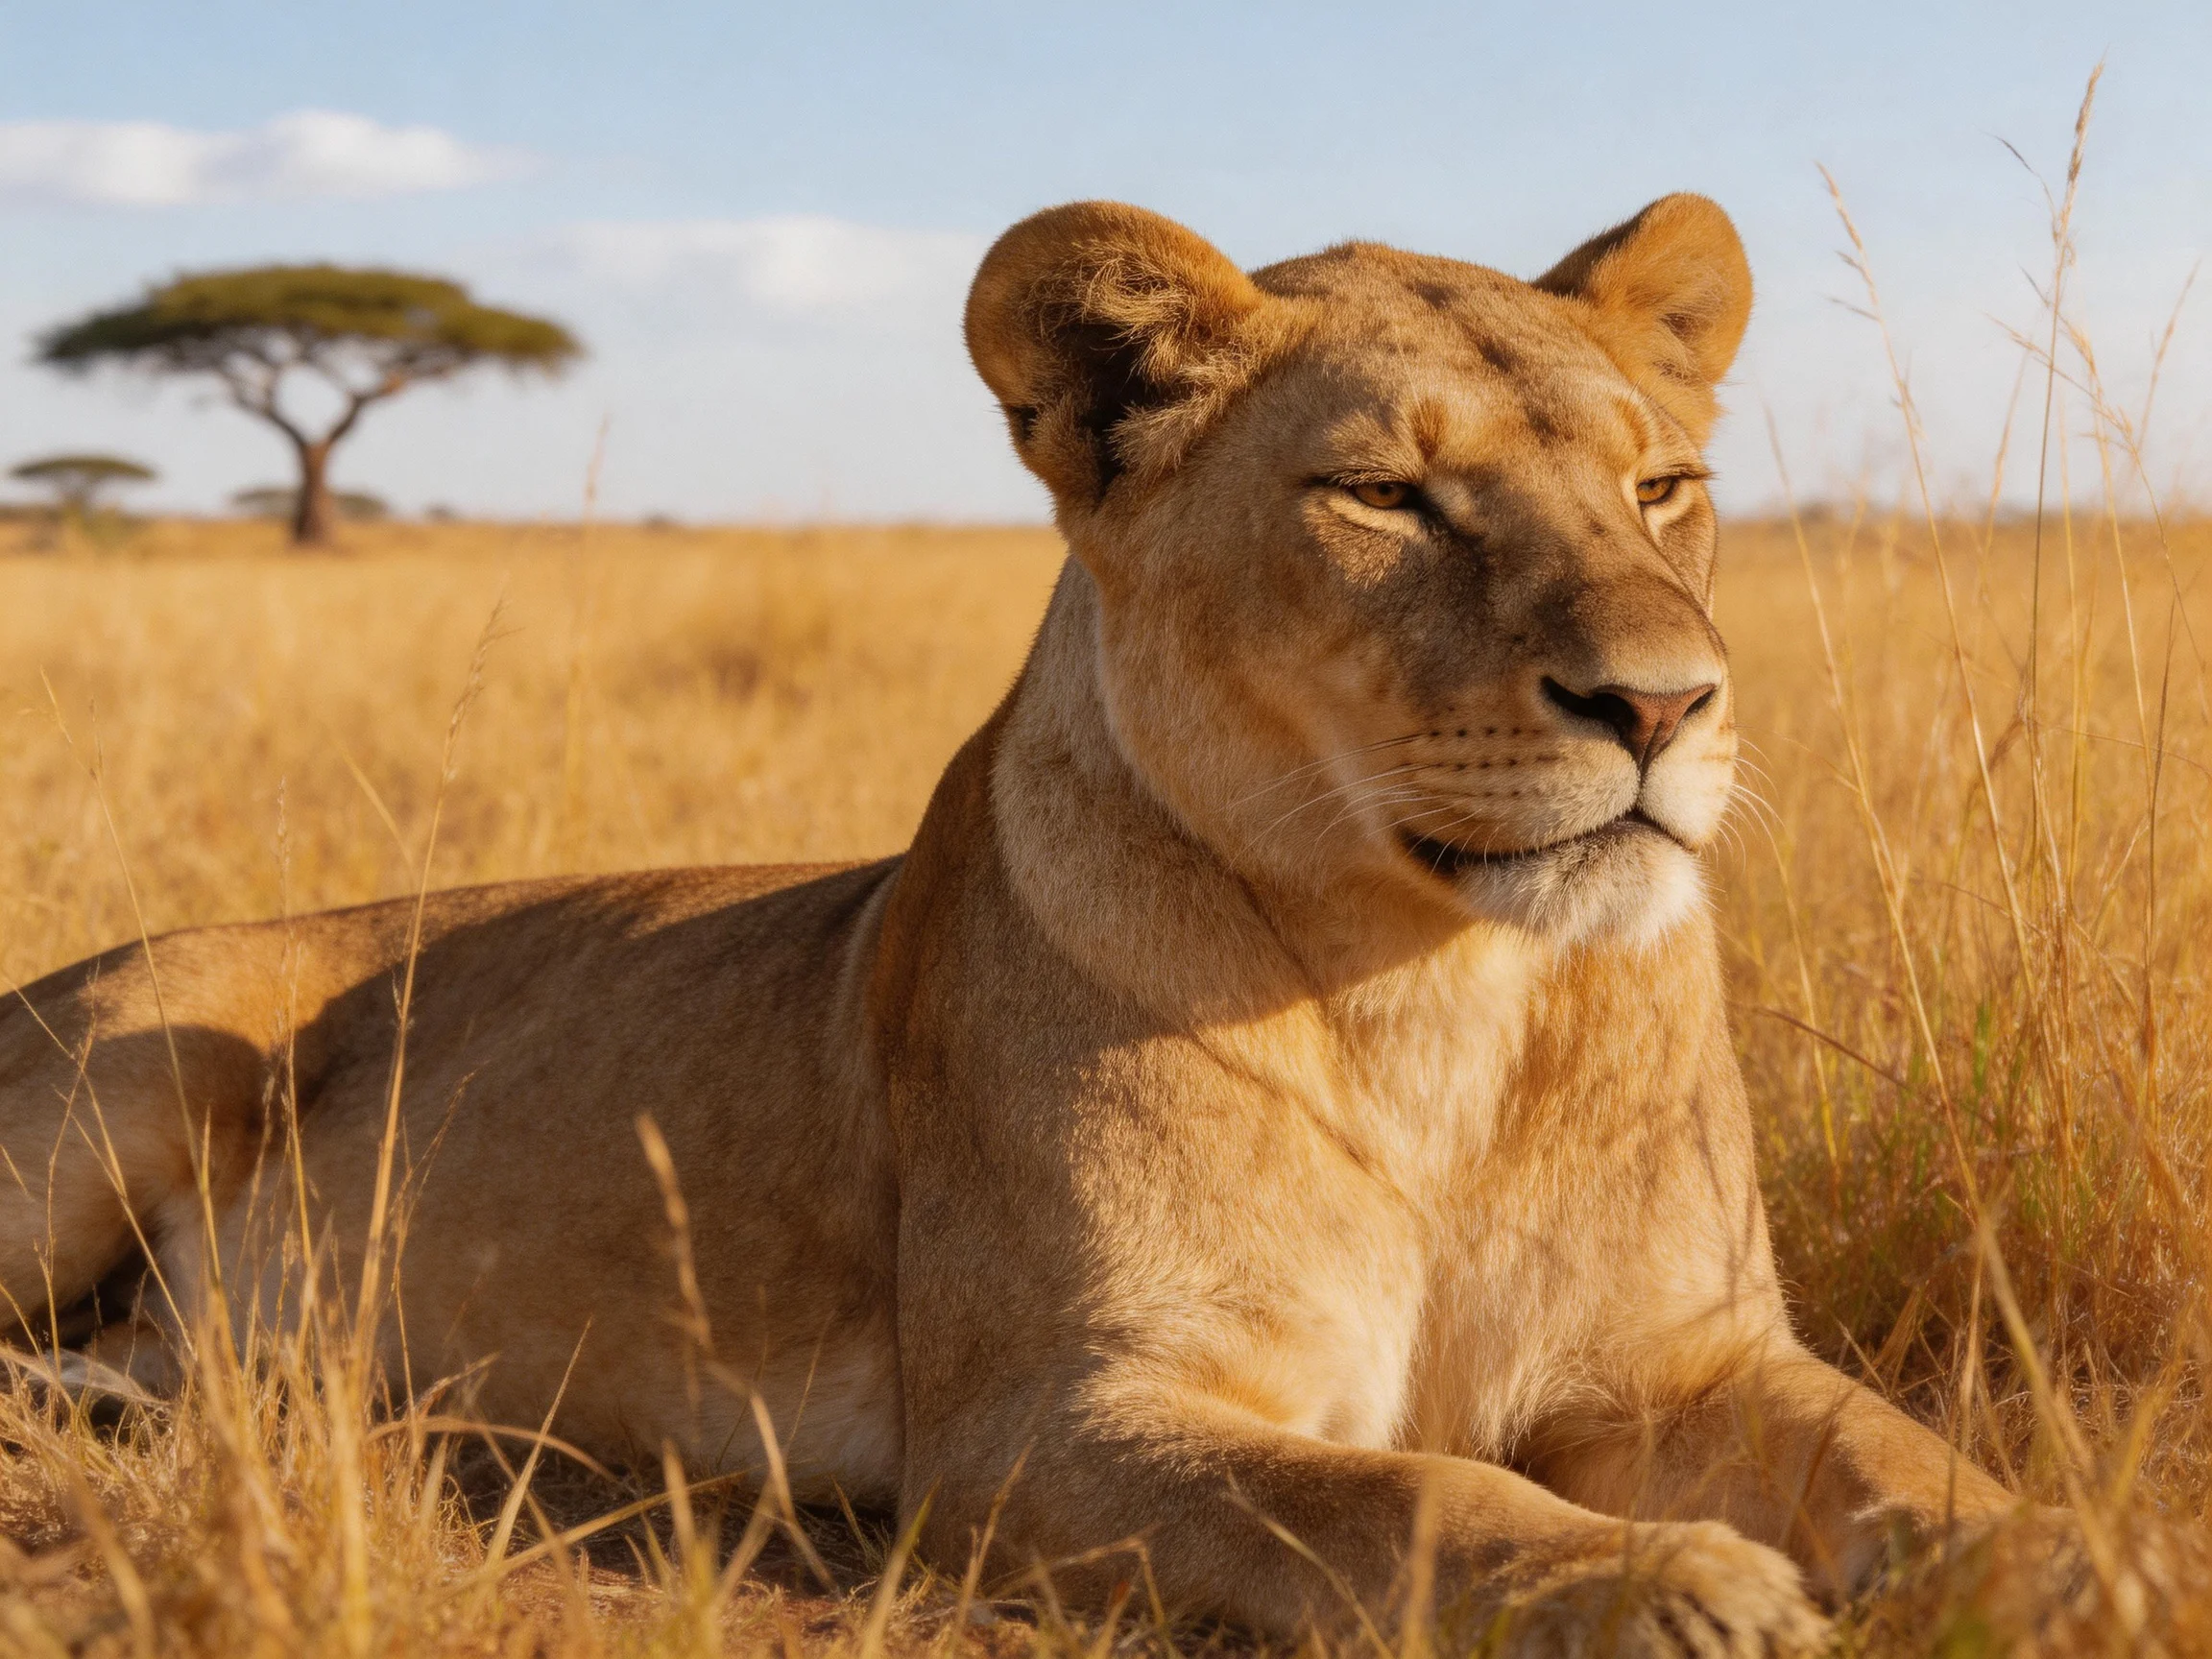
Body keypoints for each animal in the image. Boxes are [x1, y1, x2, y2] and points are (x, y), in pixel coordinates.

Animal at [0, 195, 2048, 1653]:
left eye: (1660, 485)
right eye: (1384, 494)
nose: (1663, 703)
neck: (1441, 989)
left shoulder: (1685, 1354)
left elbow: (1899, 1449)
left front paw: (2059, 1558)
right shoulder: (1047, 1425)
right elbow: (1402, 1502)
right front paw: (1668, 1583)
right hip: (133, 1058)